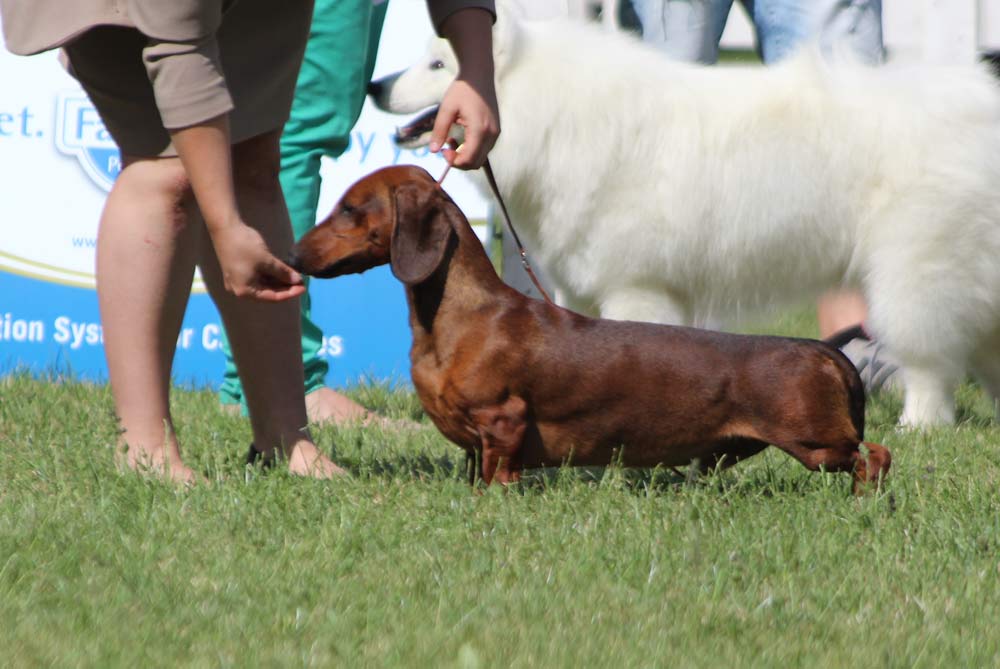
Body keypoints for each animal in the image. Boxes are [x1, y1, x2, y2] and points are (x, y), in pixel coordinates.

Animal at [372, 5, 1000, 426]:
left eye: (437, 63)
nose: (376, 86)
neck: (560, 117)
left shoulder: (637, 285)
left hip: (914, 271)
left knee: (929, 358)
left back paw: (920, 424)